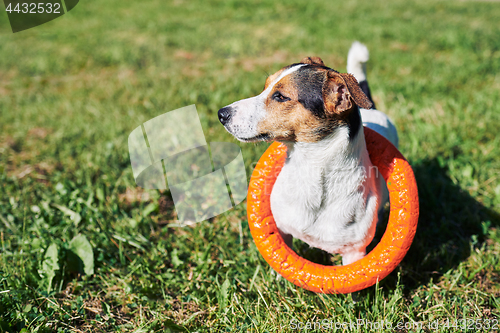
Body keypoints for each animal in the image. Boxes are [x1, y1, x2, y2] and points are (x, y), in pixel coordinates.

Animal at [219, 42, 398, 264]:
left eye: (280, 96)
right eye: (265, 86)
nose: (222, 114)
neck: (310, 168)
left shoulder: (354, 252)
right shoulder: (282, 230)